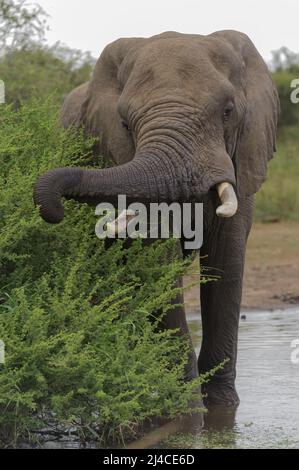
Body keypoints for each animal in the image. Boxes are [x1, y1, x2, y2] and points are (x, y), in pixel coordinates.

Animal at [34, 30, 280, 408]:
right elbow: (159, 262)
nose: (53, 207)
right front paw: (185, 405)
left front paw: (221, 407)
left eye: (228, 111)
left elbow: (226, 264)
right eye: (123, 123)